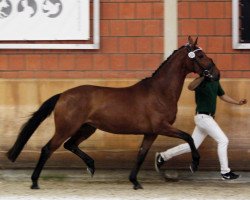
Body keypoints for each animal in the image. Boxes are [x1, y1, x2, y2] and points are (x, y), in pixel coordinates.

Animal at [6, 36, 220, 190]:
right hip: (67, 128)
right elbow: (188, 138)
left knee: (70, 145)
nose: (216, 74)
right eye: (201, 56)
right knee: (48, 149)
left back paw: (91, 166)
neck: (160, 92)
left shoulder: (151, 132)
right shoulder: (162, 127)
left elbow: (141, 155)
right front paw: (194, 163)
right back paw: (35, 182)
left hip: (87, 128)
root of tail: (63, 95)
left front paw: (135, 181)